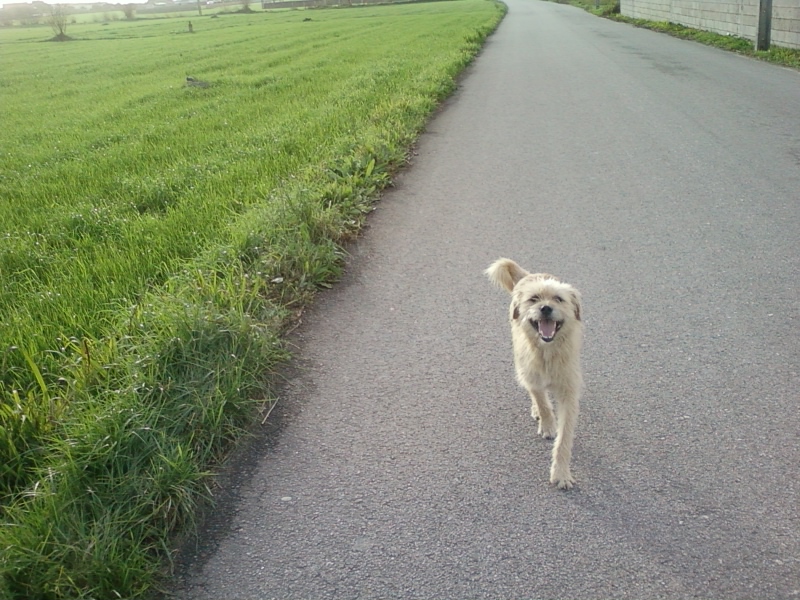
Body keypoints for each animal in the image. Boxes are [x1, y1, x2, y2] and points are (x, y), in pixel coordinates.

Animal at [484, 256, 584, 488]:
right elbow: (542, 401)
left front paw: (561, 473)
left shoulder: (569, 390)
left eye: (558, 299)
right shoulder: (531, 374)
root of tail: (531, 275)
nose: (545, 308)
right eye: (534, 299)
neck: (548, 351)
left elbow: (565, 437)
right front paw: (547, 424)